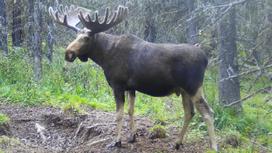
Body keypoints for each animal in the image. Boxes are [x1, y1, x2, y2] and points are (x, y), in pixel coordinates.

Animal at [49, 4, 219, 151]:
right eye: (76, 35)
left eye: (86, 38)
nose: (68, 53)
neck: (103, 57)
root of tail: (205, 59)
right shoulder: (131, 87)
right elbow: (131, 110)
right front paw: (132, 136)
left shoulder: (117, 84)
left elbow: (119, 114)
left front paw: (117, 141)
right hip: (184, 90)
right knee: (190, 112)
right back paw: (177, 143)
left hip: (193, 86)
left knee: (208, 112)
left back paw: (213, 146)